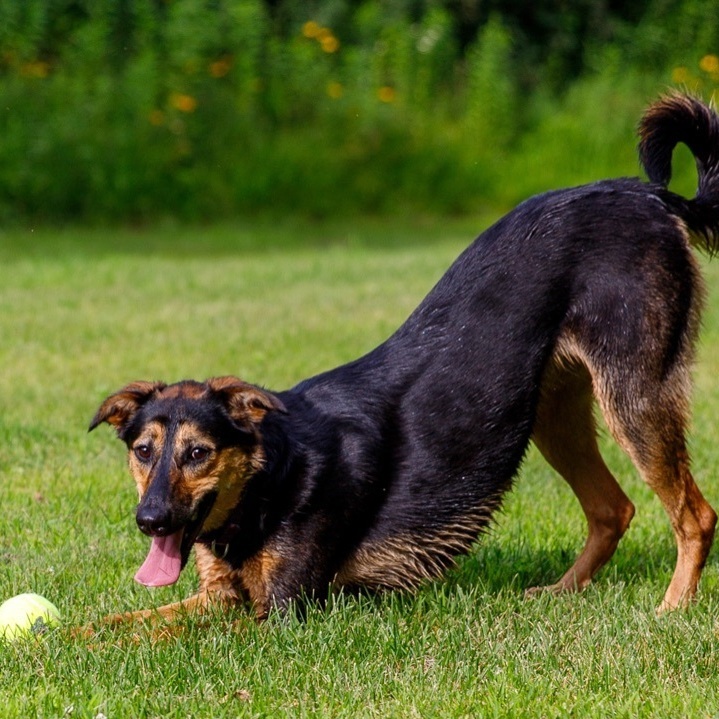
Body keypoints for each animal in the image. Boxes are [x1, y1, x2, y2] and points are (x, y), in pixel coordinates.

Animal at [91, 94, 719, 624]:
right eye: (143, 452)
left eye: (199, 453)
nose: (149, 520)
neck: (276, 472)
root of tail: (652, 196)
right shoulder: (217, 596)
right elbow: (117, 625)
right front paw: (67, 644)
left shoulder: (283, 611)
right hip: (551, 412)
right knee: (613, 509)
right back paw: (562, 592)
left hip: (632, 396)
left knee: (695, 515)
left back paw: (673, 607)